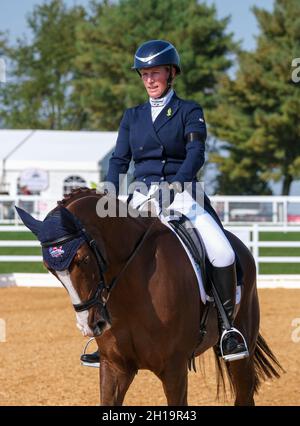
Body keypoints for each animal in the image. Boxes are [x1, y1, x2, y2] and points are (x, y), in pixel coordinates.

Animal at [18, 188, 282, 404]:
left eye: (83, 259)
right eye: (50, 269)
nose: (90, 325)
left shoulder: (174, 370)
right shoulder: (115, 367)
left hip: (242, 351)